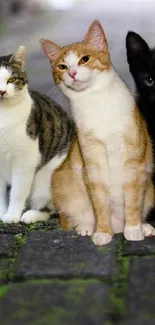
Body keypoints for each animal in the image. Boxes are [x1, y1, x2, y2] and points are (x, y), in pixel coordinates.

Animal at [0, 46, 75, 223]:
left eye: (11, 80)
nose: (2, 92)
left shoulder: (24, 161)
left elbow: (18, 191)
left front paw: (12, 215)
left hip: (48, 178)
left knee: (56, 209)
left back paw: (31, 215)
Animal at [40, 20, 155, 244]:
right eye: (62, 66)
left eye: (84, 59)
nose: (72, 73)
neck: (96, 102)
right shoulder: (92, 165)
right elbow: (99, 202)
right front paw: (102, 231)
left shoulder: (134, 162)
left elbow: (134, 200)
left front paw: (134, 228)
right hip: (61, 182)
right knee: (66, 219)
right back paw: (85, 226)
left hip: (151, 189)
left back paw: (142, 226)